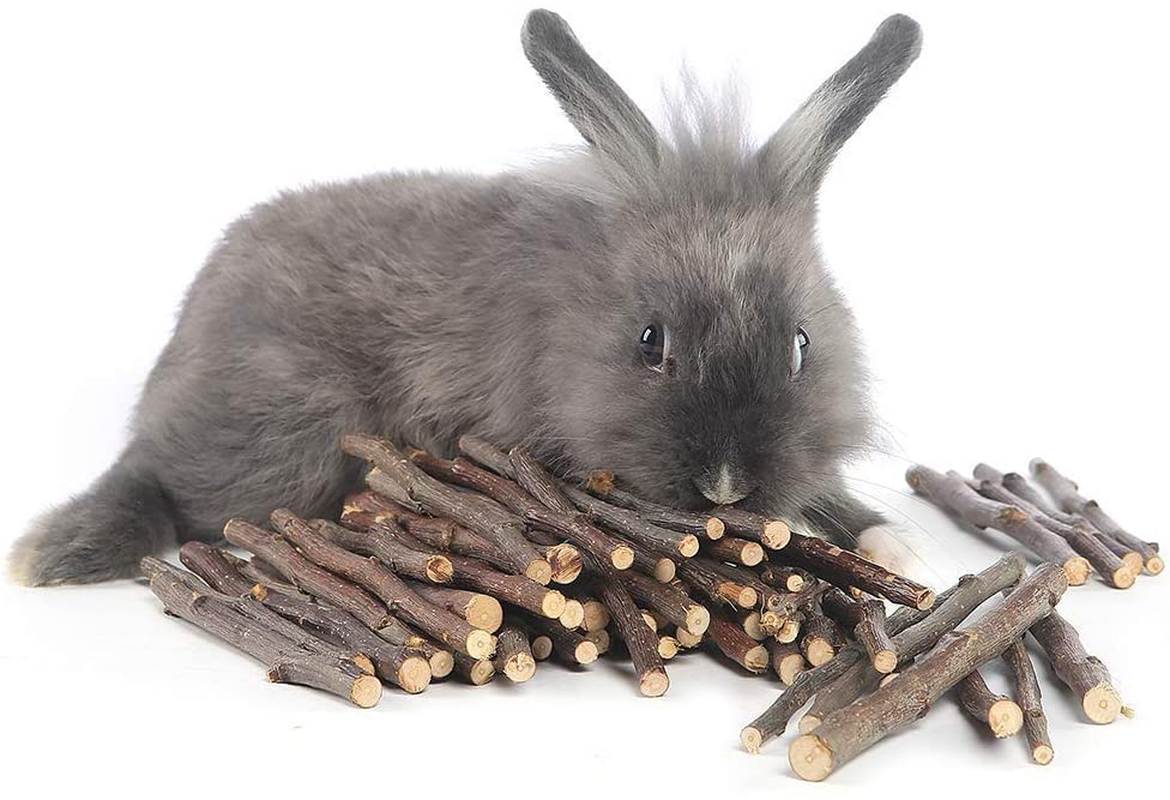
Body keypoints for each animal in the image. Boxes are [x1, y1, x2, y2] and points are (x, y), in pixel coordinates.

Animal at [10, 9, 934, 587]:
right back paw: (57, 550)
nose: (726, 484)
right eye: (650, 342)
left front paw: (900, 544)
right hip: (278, 434)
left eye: (802, 346)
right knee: (158, 474)